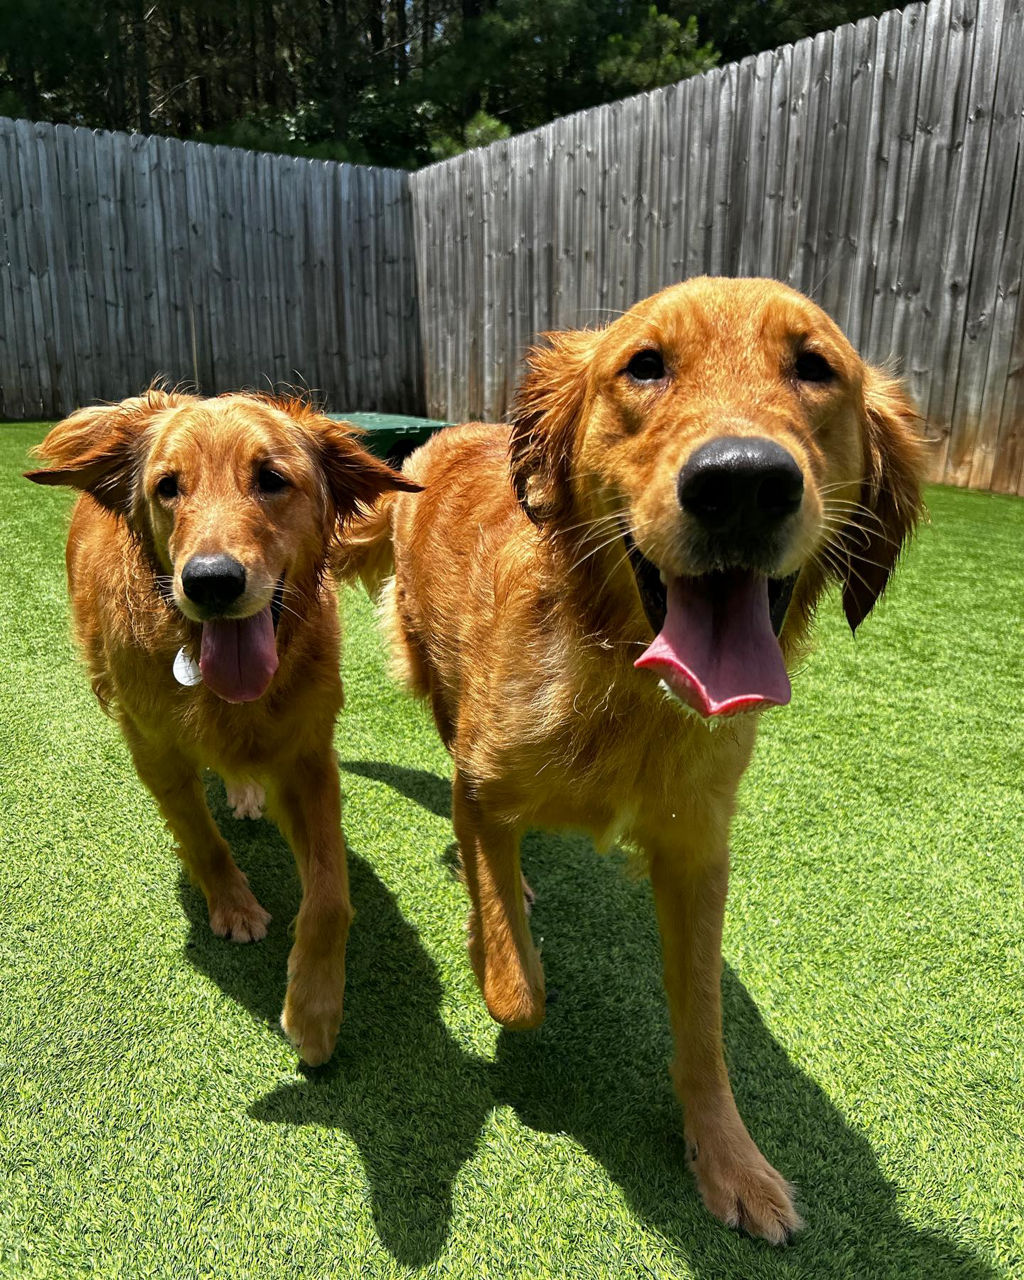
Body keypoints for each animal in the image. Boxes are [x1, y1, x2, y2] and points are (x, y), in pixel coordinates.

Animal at [28, 391, 419, 1070]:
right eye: (167, 487)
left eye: (271, 479)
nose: (210, 582)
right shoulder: (154, 750)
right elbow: (199, 836)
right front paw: (233, 906)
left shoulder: (308, 758)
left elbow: (330, 895)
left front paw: (314, 1010)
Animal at [353, 277, 926, 1239]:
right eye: (645, 366)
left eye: (816, 368)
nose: (743, 481)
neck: (626, 686)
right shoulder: (481, 780)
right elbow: (517, 988)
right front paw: (491, 941)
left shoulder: (697, 853)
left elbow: (702, 1026)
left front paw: (729, 1159)